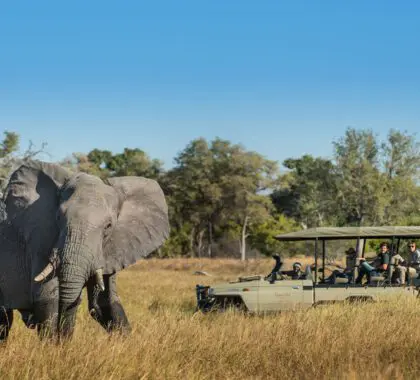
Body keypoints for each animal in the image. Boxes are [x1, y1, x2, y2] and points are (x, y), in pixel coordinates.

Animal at [0, 160, 169, 342]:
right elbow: (47, 297)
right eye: (58, 217)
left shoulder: (111, 248)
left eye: (108, 226)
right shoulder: (39, 238)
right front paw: (51, 347)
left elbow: (107, 302)